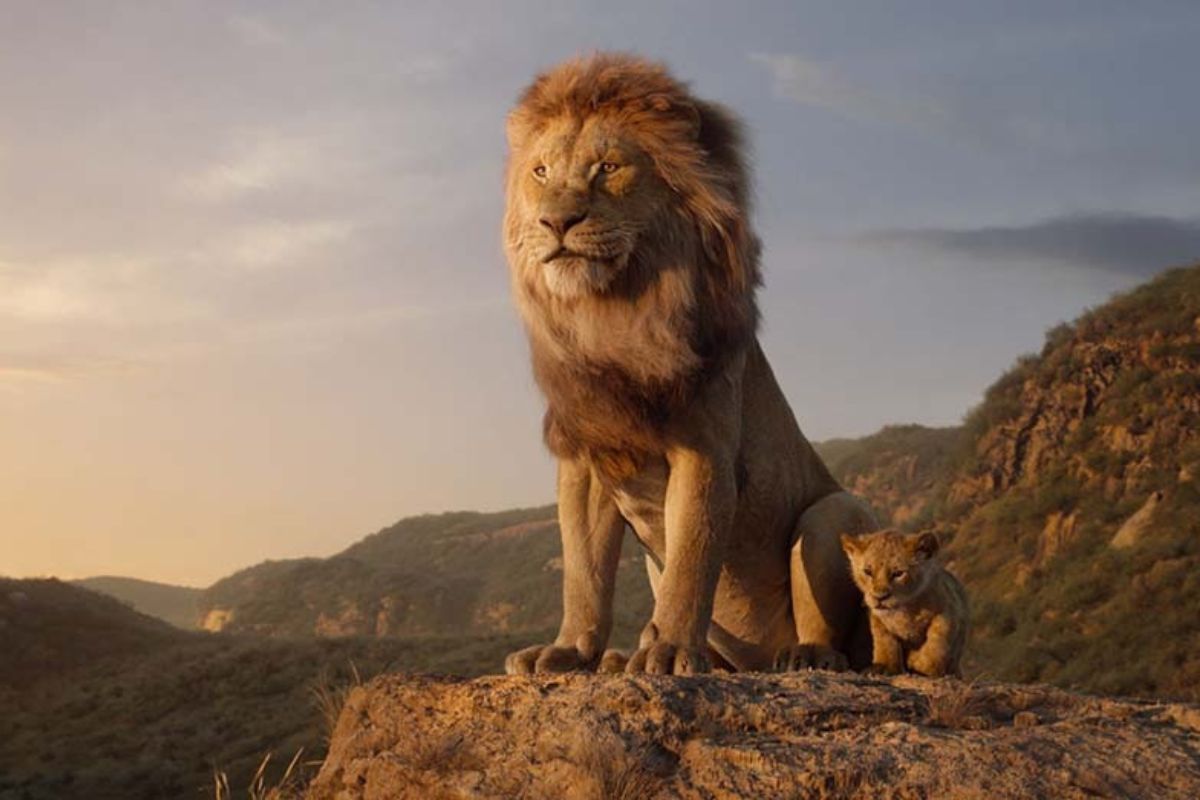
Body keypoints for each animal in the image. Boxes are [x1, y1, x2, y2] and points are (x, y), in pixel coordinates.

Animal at [501, 53, 878, 676]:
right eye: (540, 172)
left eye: (608, 168)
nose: (556, 222)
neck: (613, 314)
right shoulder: (587, 457)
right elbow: (584, 572)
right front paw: (570, 650)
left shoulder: (704, 448)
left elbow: (692, 560)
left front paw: (672, 650)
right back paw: (624, 657)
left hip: (833, 512)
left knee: (837, 634)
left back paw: (804, 656)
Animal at [841, 529, 969, 678]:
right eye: (868, 571)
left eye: (898, 573)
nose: (880, 597)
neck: (904, 610)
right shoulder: (878, 619)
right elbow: (885, 642)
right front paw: (883, 666)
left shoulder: (948, 611)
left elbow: (936, 642)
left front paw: (919, 663)